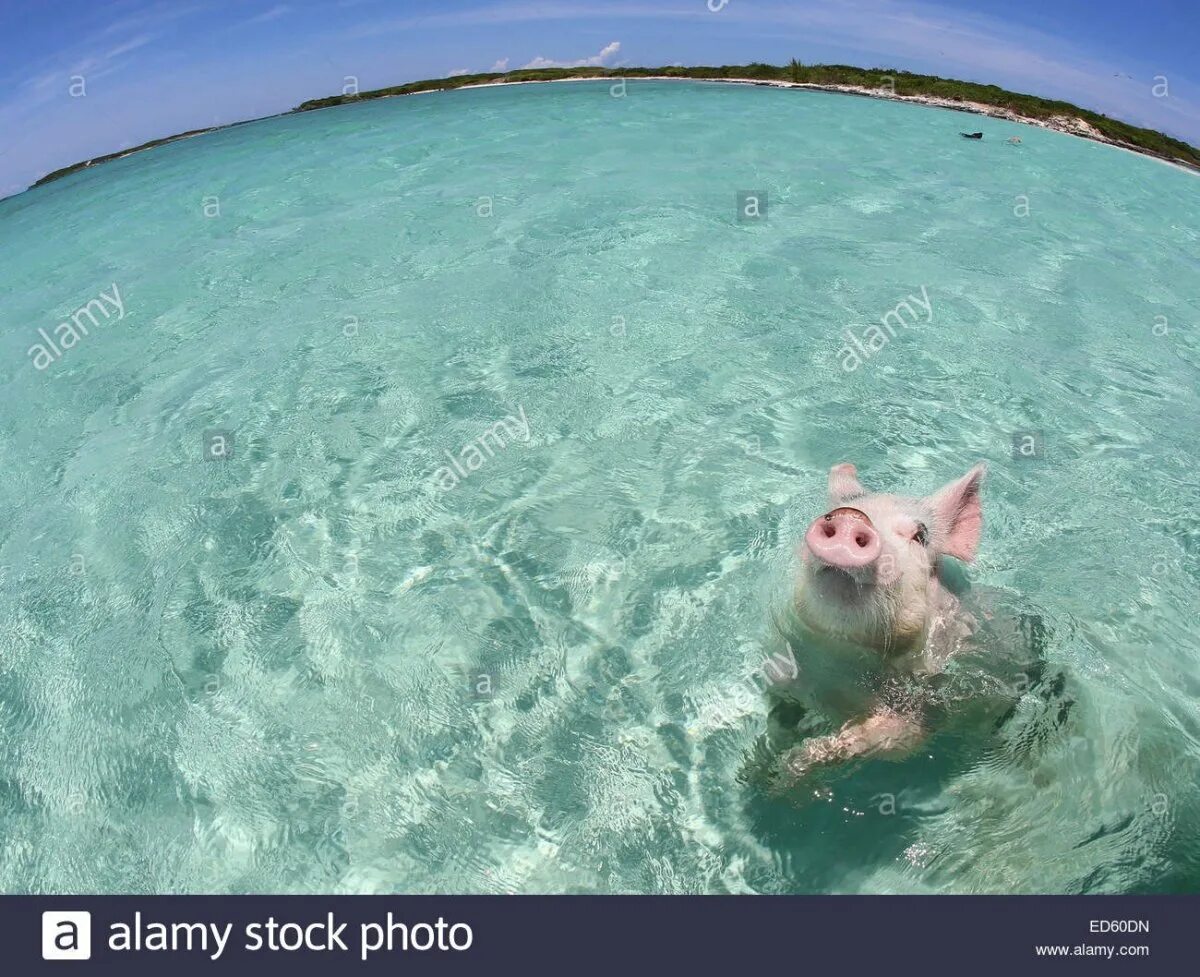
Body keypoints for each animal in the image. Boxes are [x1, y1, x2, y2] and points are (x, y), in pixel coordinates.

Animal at [768, 463, 993, 782]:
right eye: (834, 512)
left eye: (920, 535)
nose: (851, 517)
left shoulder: (923, 705)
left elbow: (889, 738)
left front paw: (782, 771)